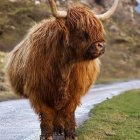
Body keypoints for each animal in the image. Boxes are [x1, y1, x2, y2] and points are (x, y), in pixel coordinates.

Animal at [5, 0, 119, 140]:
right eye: (79, 29)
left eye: (99, 28)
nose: (100, 46)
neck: (65, 66)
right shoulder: (39, 91)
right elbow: (46, 114)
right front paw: (46, 136)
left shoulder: (74, 92)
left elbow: (69, 113)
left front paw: (70, 135)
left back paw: (59, 129)